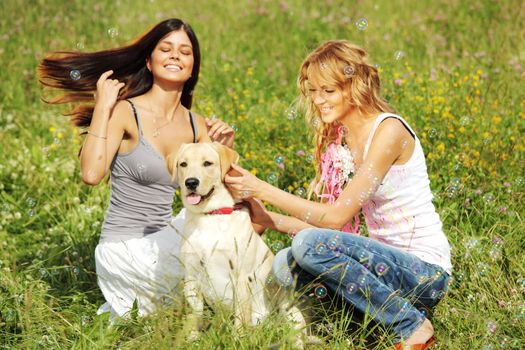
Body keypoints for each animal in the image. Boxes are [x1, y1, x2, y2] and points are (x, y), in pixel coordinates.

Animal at [167, 143, 308, 344]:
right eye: (183, 164)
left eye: (207, 163)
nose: (191, 183)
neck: (211, 215)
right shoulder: (191, 277)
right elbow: (195, 315)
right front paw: (192, 340)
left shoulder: (241, 275)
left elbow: (240, 317)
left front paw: (237, 340)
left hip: (288, 310)